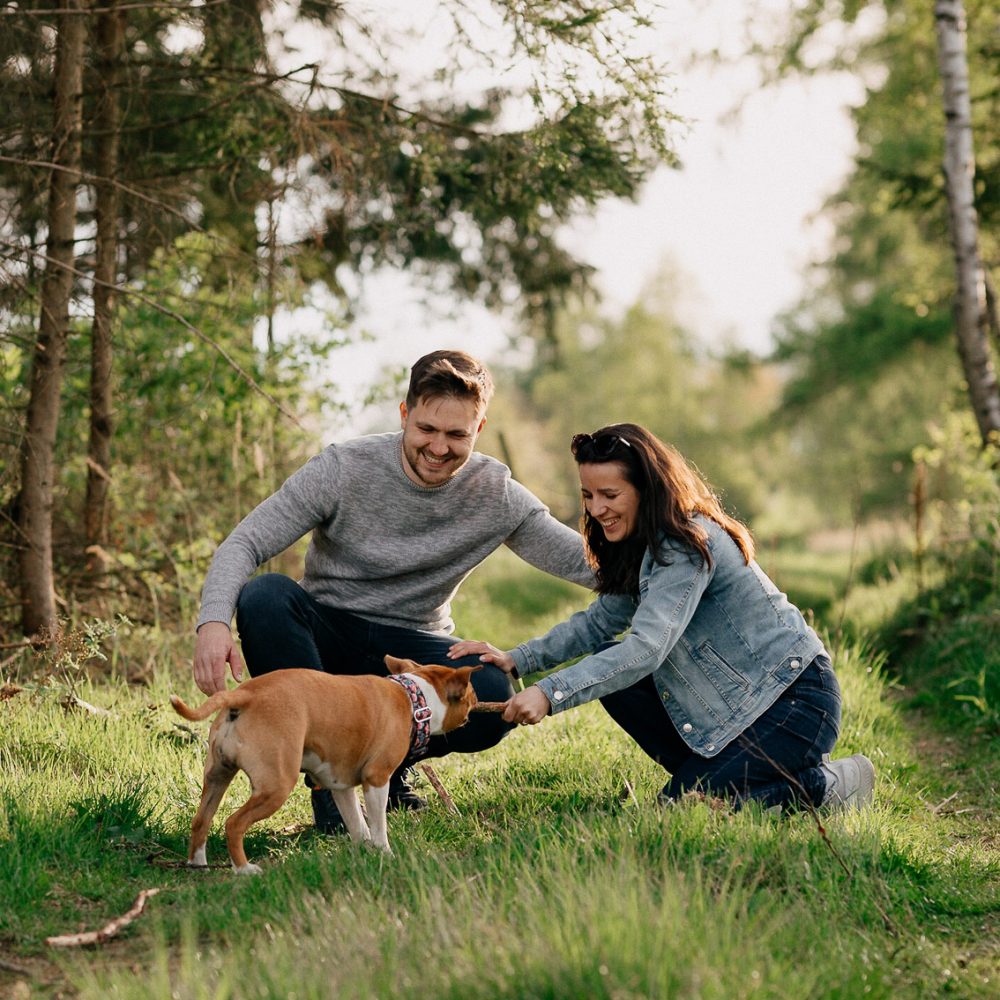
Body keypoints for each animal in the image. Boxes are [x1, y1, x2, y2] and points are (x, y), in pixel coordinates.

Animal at [169, 652, 480, 872]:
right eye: (471, 694)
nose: (478, 702)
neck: (413, 696)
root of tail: (243, 694)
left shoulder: (341, 786)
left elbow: (358, 824)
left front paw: (365, 852)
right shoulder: (376, 778)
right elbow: (378, 824)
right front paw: (385, 853)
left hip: (217, 777)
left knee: (201, 820)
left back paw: (198, 864)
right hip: (275, 787)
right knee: (234, 823)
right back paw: (244, 869)